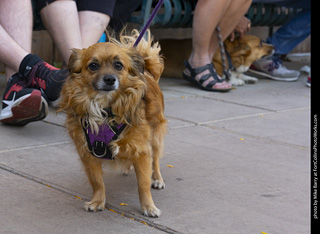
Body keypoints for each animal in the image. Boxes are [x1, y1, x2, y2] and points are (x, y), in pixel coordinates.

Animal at [58, 30, 166, 218]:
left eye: (118, 65)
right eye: (93, 65)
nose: (109, 79)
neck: (105, 110)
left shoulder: (142, 151)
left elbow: (143, 183)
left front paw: (148, 206)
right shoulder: (88, 153)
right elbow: (97, 182)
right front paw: (98, 201)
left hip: (155, 137)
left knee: (156, 160)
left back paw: (157, 179)